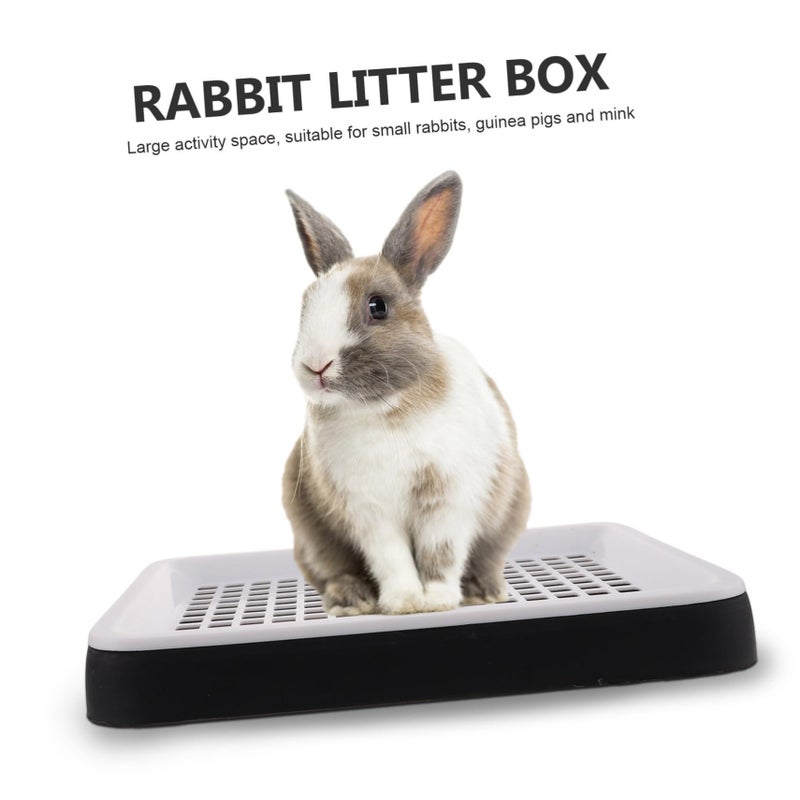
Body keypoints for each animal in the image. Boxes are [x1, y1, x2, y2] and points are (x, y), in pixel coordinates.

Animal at [282, 170, 530, 616]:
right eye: (305, 306)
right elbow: (392, 557)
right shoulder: (369, 511)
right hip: (309, 535)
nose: (315, 366)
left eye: (377, 307)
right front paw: (405, 603)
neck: (386, 409)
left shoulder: (449, 500)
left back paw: (484, 591)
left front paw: (438, 602)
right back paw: (352, 601)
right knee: (332, 570)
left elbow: (440, 554)